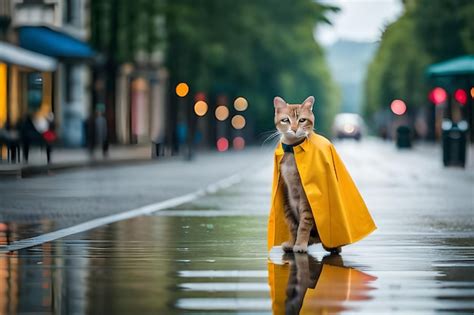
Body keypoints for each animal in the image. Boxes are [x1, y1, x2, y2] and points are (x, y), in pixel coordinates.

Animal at [274, 96, 322, 254]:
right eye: (285, 120)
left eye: (302, 120)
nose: (294, 129)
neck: (292, 150)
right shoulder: (285, 196)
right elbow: (292, 225)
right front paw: (292, 242)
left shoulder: (306, 198)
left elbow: (304, 224)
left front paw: (300, 244)